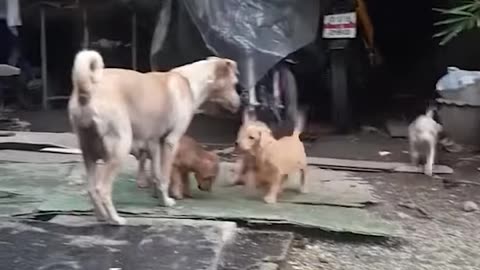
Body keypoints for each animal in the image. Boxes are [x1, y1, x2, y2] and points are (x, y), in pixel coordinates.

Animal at [67, 49, 240, 225]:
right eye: (234, 83)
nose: (239, 105)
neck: (188, 82)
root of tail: (86, 90)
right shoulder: (171, 141)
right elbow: (165, 177)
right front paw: (167, 201)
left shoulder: (156, 143)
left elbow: (157, 175)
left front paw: (161, 199)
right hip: (119, 149)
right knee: (101, 189)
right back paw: (115, 219)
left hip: (89, 152)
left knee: (91, 188)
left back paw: (101, 216)